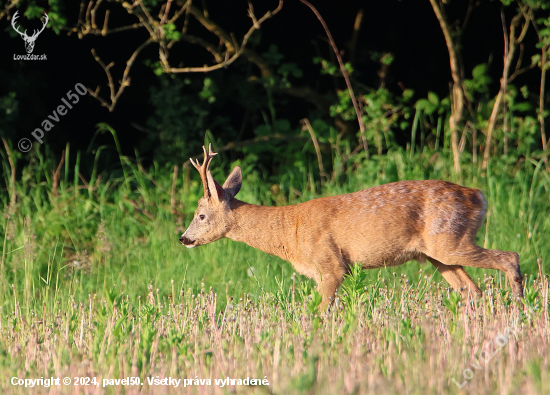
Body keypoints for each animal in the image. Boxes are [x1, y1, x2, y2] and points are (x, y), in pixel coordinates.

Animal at [181, 144, 528, 310]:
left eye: (200, 215)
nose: (183, 238)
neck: (289, 232)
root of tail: (479, 196)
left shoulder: (330, 263)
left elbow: (318, 310)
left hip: (450, 240)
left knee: (509, 257)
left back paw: (520, 309)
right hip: (438, 254)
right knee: (472, 289)